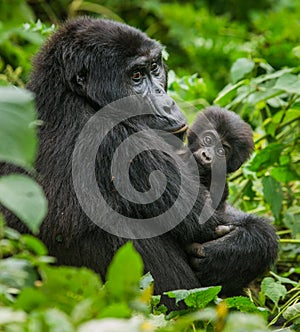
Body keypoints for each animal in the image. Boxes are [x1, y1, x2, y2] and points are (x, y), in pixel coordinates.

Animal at [1, 17, 278, 304]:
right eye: (136, 76)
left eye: (154, 67)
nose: (167, 104)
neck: (71, 94)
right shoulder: (121, 139)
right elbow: (207, 221)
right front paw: (247, 247)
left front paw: (237, 250)